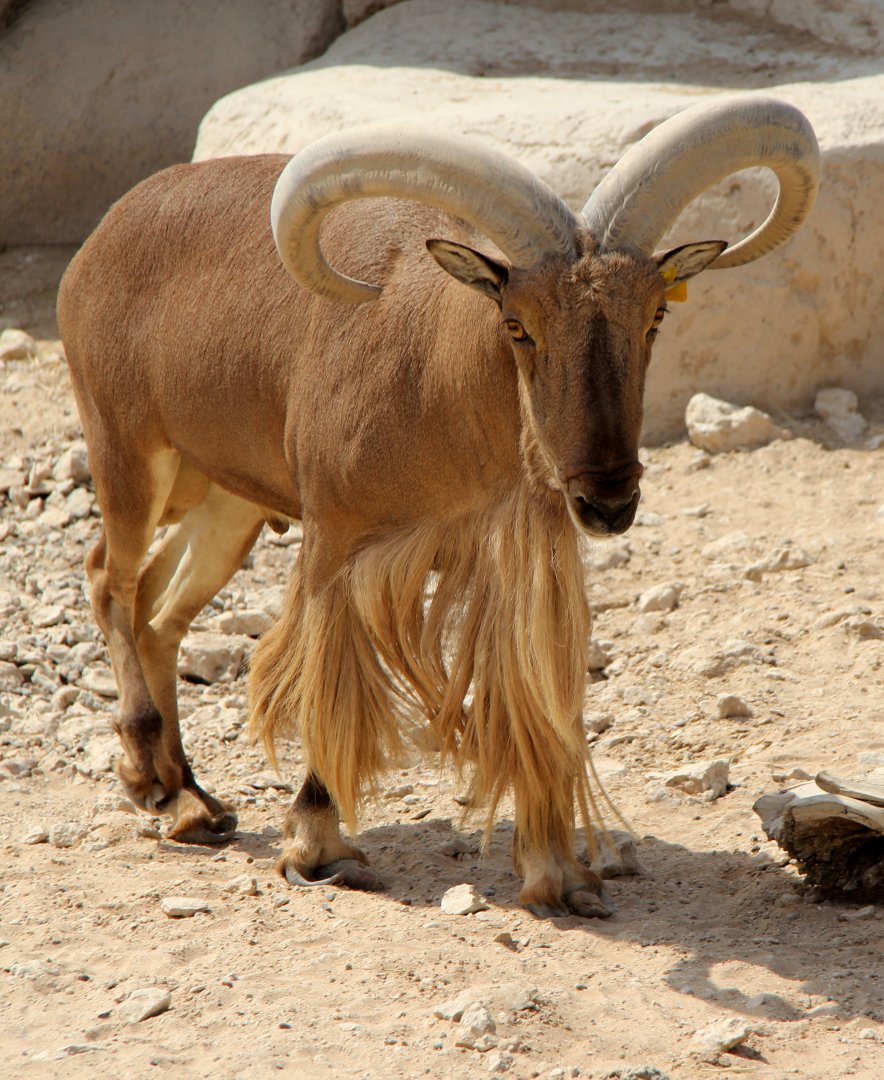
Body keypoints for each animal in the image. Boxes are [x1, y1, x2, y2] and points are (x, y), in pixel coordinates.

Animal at [57, 97, 818, 918]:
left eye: (653, 319)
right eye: (517, 325)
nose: (608, 499)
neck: (437, 378)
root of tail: (101, 237)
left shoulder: (511, 560)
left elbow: (522, 701)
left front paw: (556, 872)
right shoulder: (336, 541)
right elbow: (324, 684)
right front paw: (319, 848)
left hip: (229, 502)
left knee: (160, 607)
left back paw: (189, 791)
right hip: (129, 451)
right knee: (111, 578)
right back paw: (162, 790)